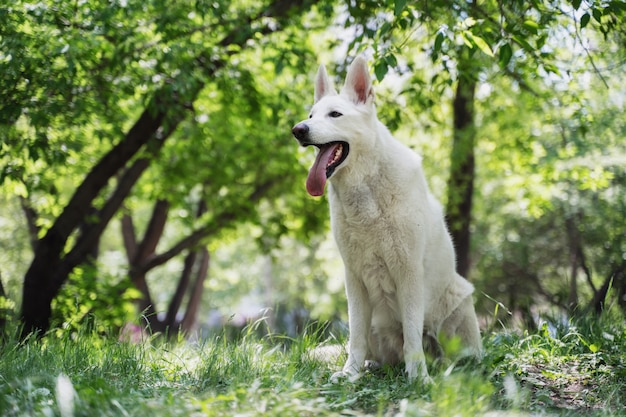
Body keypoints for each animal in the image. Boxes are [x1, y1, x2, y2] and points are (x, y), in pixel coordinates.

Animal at [290, 57, 480, 382]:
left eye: (335, 114)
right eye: (311, 115)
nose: (298, 129)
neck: (367, 190)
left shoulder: (409, 273)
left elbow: (413, 336)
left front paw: (419, 378)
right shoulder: (353, 278)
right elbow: (355, 337)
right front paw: (350, 373)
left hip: (459, 300)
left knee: (452, 352)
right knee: (373, 348)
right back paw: (370, 365)